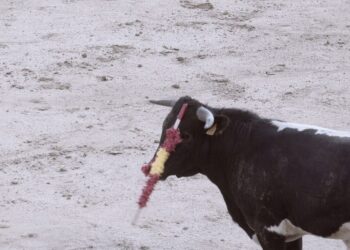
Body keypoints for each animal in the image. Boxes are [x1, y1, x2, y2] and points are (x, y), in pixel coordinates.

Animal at [149, 96, 350, 250]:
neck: (243, 145)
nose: (151, 167)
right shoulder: (291, 233)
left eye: (186, 136)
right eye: (164, 127)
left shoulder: (269, 229)